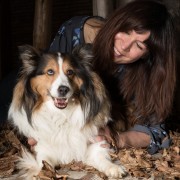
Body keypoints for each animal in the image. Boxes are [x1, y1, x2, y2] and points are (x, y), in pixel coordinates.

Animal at [8, 44, 126, 179]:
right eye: (50, 71)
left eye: (70, 72)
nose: (63, 89)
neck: (60, 114)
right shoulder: (43, 148)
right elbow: (44, 164)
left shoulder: (94, 142)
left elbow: (101, 157)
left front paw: (114, 167)